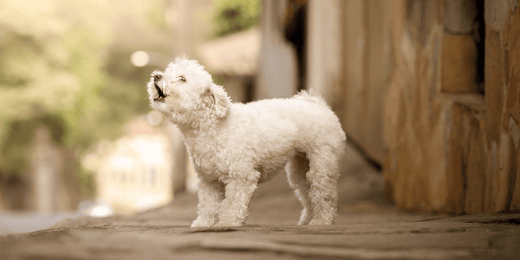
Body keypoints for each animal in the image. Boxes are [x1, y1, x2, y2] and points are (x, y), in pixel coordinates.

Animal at [146, 57, 346, 228]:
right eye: (167, 72)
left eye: (182, 78)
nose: (155, 75)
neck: (213, 127)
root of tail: (319, 105)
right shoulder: (209, 181)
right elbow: (208, 204)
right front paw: (203, 223)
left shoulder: (241, 176)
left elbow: (232, 202)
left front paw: (227, 223)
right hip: (300, 168)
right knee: (306, 190)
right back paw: (307, 219)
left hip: (322, 163)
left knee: (324, 193)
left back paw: (321, 221)